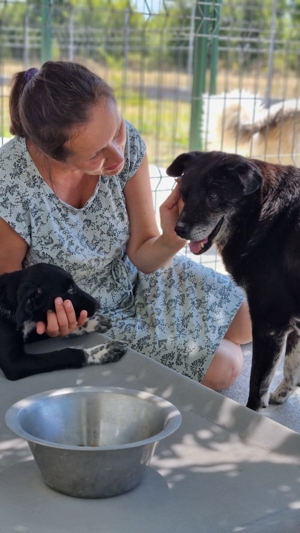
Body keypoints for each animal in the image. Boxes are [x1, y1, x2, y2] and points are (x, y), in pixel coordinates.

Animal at [166, 151, 300, 412]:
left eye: (213, 196)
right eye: (184, 193)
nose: (179, 230)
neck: (264, 216)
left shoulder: (269, 326)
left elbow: (257, 387)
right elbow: (291, 365)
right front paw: (282, 394)